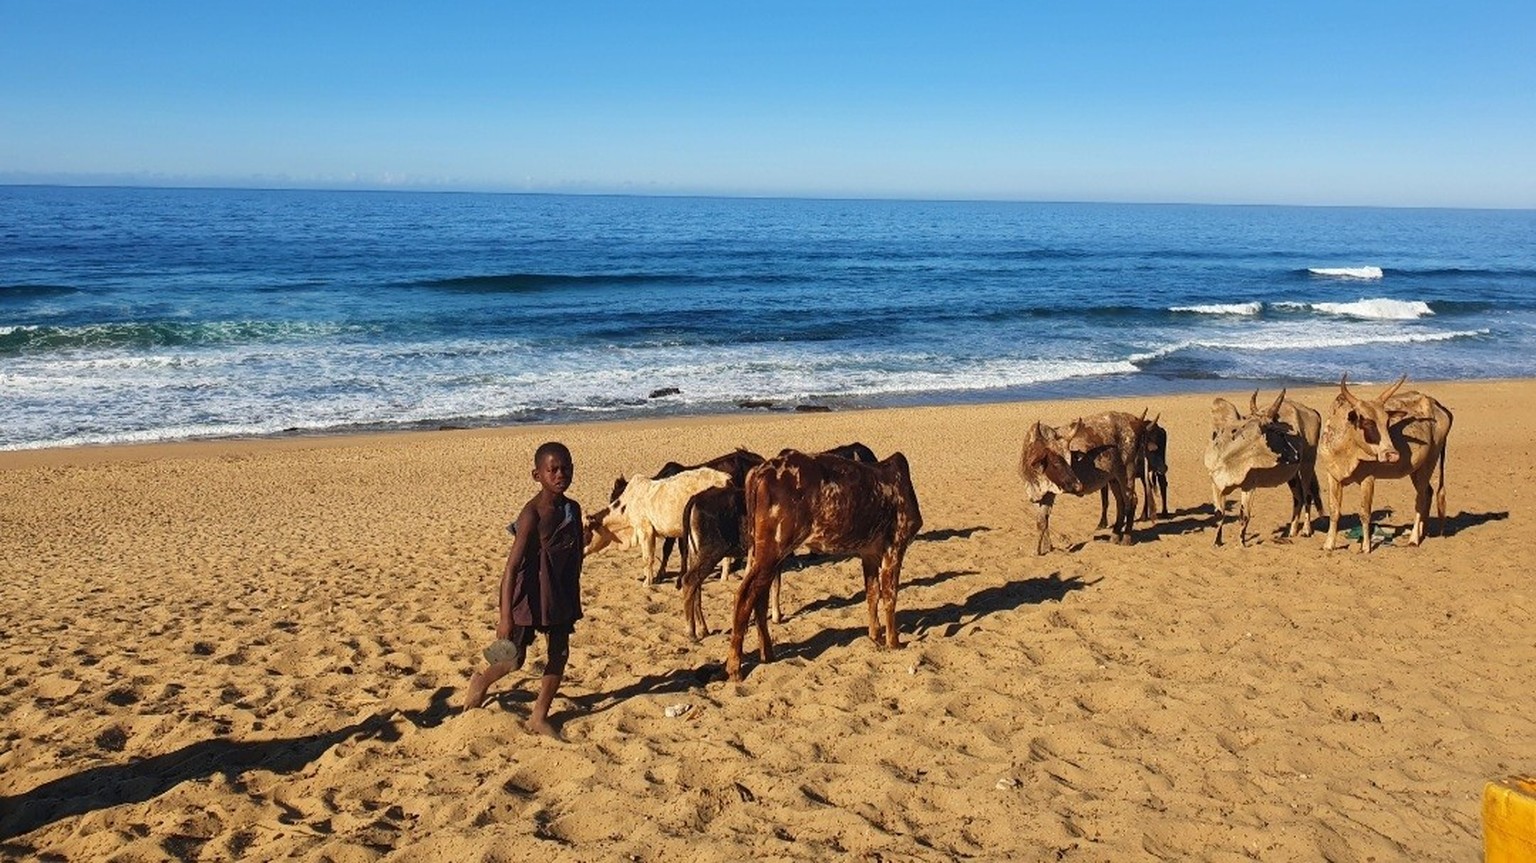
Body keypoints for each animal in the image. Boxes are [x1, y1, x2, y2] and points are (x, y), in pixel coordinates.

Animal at [721, 445, 915, 681]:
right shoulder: (895, 547)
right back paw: (734, 666)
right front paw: (893, 641)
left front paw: (875, 635)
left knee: (759, 597)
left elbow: (872, 594)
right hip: (772, 552)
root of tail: (760, 470)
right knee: (745, 596)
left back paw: (767, 653)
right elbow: (890, 597)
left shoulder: (869, 554)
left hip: (761, 554)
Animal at [1013, 408, 1148, 552]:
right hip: (1114, 479)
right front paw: (1046, 548)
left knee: (1131, 501)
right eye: (1056, 463)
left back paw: (1126, 538)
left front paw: (1040, 550)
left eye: (1069, 460)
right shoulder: (1038, 495)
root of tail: (1134, 421)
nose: (1078, 486)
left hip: (1127, 472)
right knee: (1121, 503)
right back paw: (1115, 536)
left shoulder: (1050, 493)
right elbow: (1042, 521)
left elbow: (1043, 521)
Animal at [1204, 390, 1327, 543]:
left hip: (1307, 465)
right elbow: (1219, 514)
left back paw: (1306, 530)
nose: (1296, 455)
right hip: (1292, 476)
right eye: (1278, 432)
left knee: (1307, 495)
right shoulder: (1216, 483)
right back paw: (1292, 531)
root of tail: (1312, 411)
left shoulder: (1249, 486)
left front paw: (1241, 543)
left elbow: (1244, 516)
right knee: (1298, 497)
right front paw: (1217, 542)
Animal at [1320, 371, 1449, 549]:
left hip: (1429, 463)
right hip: (1416, 470)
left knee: (1421, 498)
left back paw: (1414, 539)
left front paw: (1366, 547)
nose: (1392, 454)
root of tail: (1437, 405)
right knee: (1428, 493)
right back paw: (1421, 533)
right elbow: (1334, 510)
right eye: (1367, 422)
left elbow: (1365, 512)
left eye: (1387, 422)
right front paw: (1329, 544)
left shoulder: (1368, 478)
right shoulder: (1332, 475)